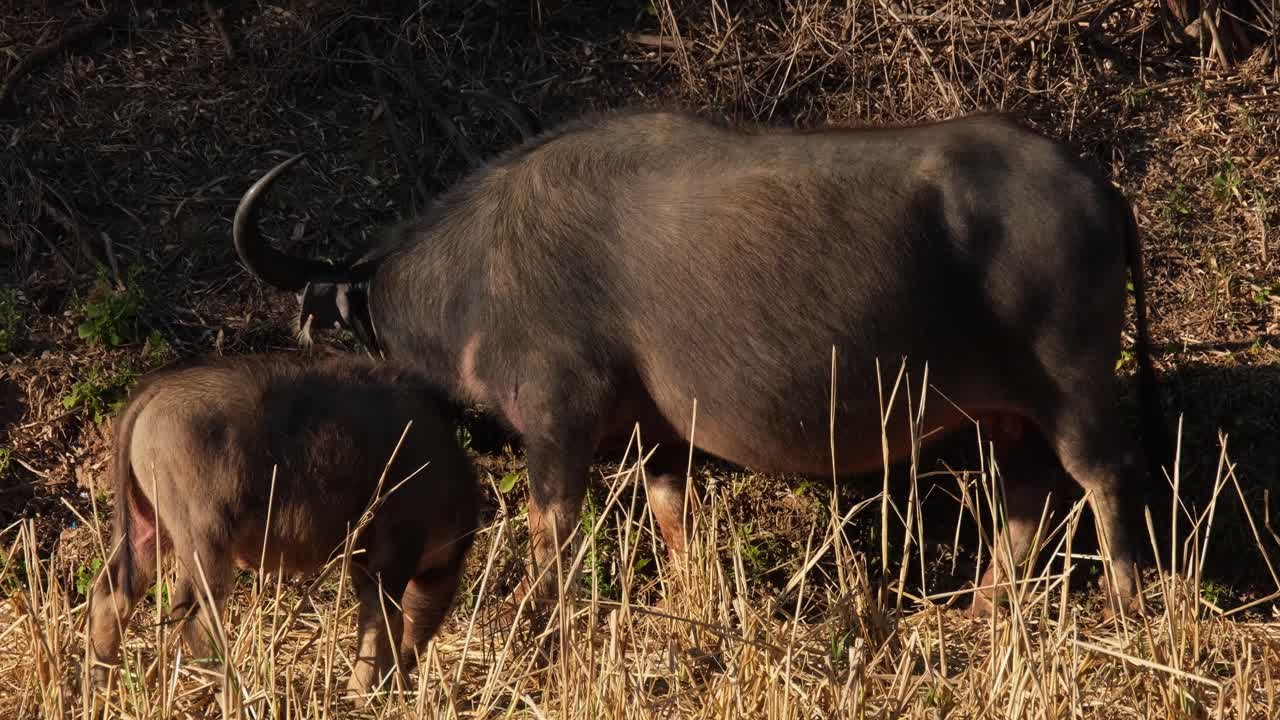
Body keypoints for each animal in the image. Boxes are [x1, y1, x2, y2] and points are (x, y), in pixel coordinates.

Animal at [232, 108, 1170, 618]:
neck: (480, 269)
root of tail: (1096, 186)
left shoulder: (557, 423)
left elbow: (549, 531)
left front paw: (536, 617)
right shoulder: (655, 437)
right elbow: (672, 515)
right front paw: (686, 605)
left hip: (1072, 386)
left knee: (1104, 477)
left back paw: (1128, 603)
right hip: (1014, 414)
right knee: (1029, 500)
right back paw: (979, 609)